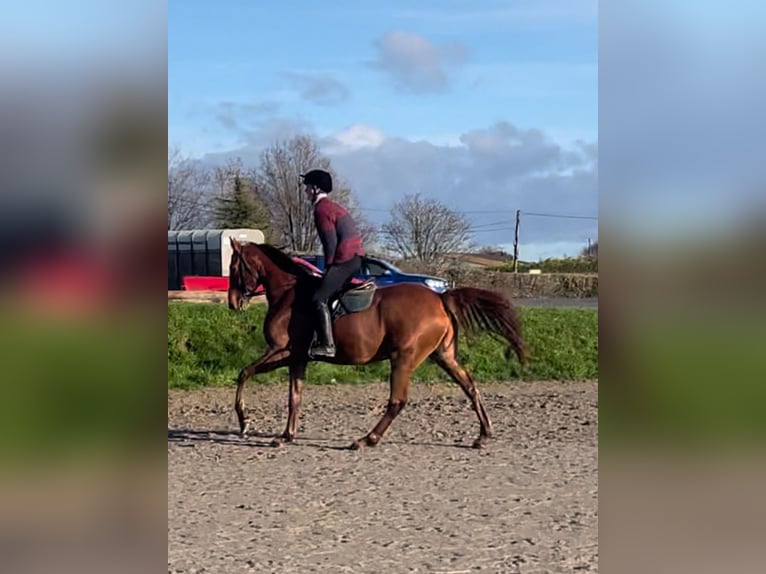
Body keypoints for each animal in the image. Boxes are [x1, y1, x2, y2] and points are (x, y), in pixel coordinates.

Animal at [227, 238, 526, 449]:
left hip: (403, 358)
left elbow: (244, 373)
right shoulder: (298, 357)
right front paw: (286, 435)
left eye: (234, 267)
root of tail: (440, 299)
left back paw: (366, 439)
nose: (232, 303)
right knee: (469, 386)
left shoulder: (282, 351)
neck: (288, 292)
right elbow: (294, 396)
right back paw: (483, 435)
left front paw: (244, 423)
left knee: (397, 400)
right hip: (443, 356)